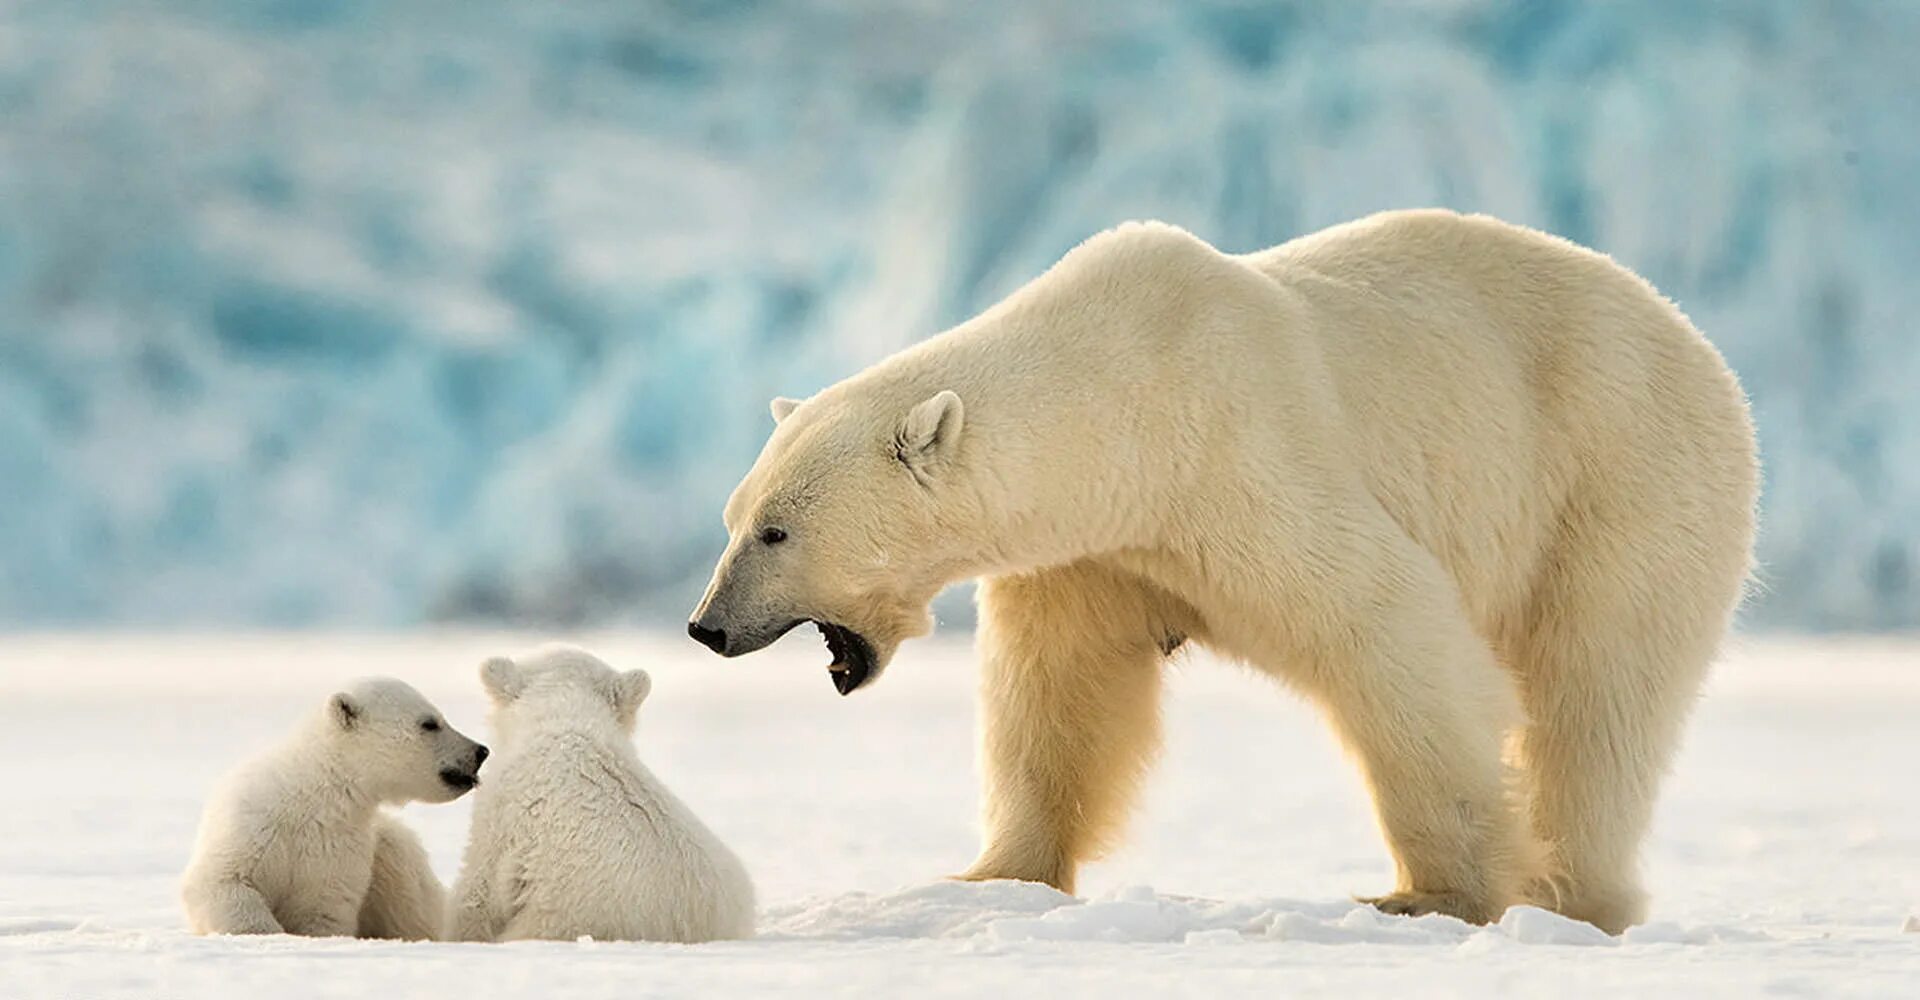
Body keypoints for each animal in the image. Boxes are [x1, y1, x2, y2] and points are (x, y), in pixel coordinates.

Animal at [691, 206, 1758, 932]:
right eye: (733, 518)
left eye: (775, 533)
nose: (707, 626)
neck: (1123, 396)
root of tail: (1701, 347)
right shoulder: (1094, 549)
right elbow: (1061, 693)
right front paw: (992, 876)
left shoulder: (1239, 459)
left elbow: (1389, 625)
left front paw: (1432, 895)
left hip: (1619, 474)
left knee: (1597, 695)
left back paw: (1571, 895)